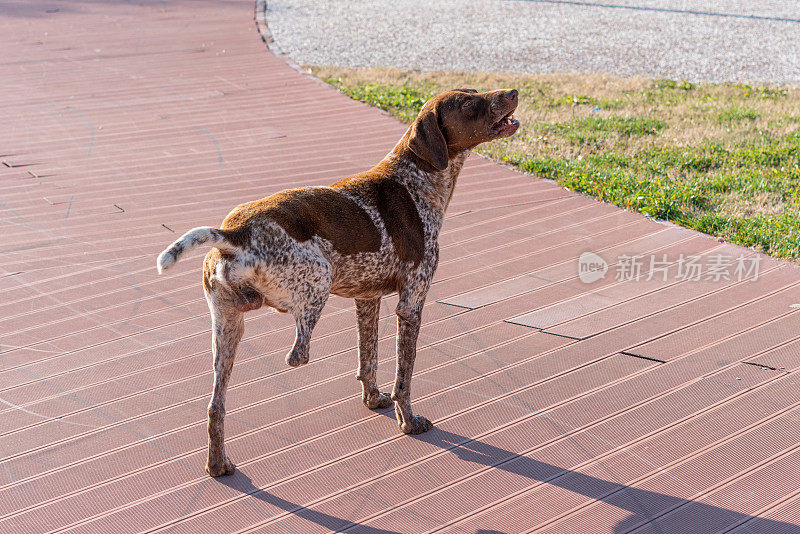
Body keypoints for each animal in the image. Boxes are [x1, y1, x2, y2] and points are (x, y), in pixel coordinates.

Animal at [156, 88, 520, 478]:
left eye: (475, 93)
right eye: (467, 104)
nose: (513, 92)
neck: (417, 179)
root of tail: (234, 232)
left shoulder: (368, 299)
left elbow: (368, 359)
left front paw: (374, 399)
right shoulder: (411, 304)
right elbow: (404, 377)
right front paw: (407, 421)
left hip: (226, 329)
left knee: (215, 405)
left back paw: (218, 464)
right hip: (317, 281)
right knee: (296, 354)